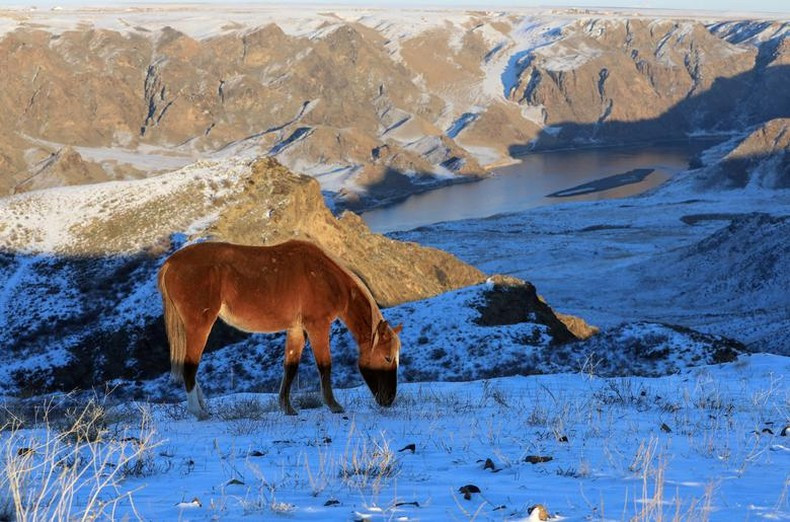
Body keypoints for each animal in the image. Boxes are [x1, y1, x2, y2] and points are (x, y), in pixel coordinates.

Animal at [157, 239, 403, 419]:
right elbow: (325, 365)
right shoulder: (317, 327)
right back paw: (199, 412)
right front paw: (333, 405)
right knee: (190, 366)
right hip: (199, 326)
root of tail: (171, 264)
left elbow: (290, 367)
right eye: (388, 357)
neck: (325, 276)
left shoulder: (296, 330)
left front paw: (287, 407)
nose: (389, 400)